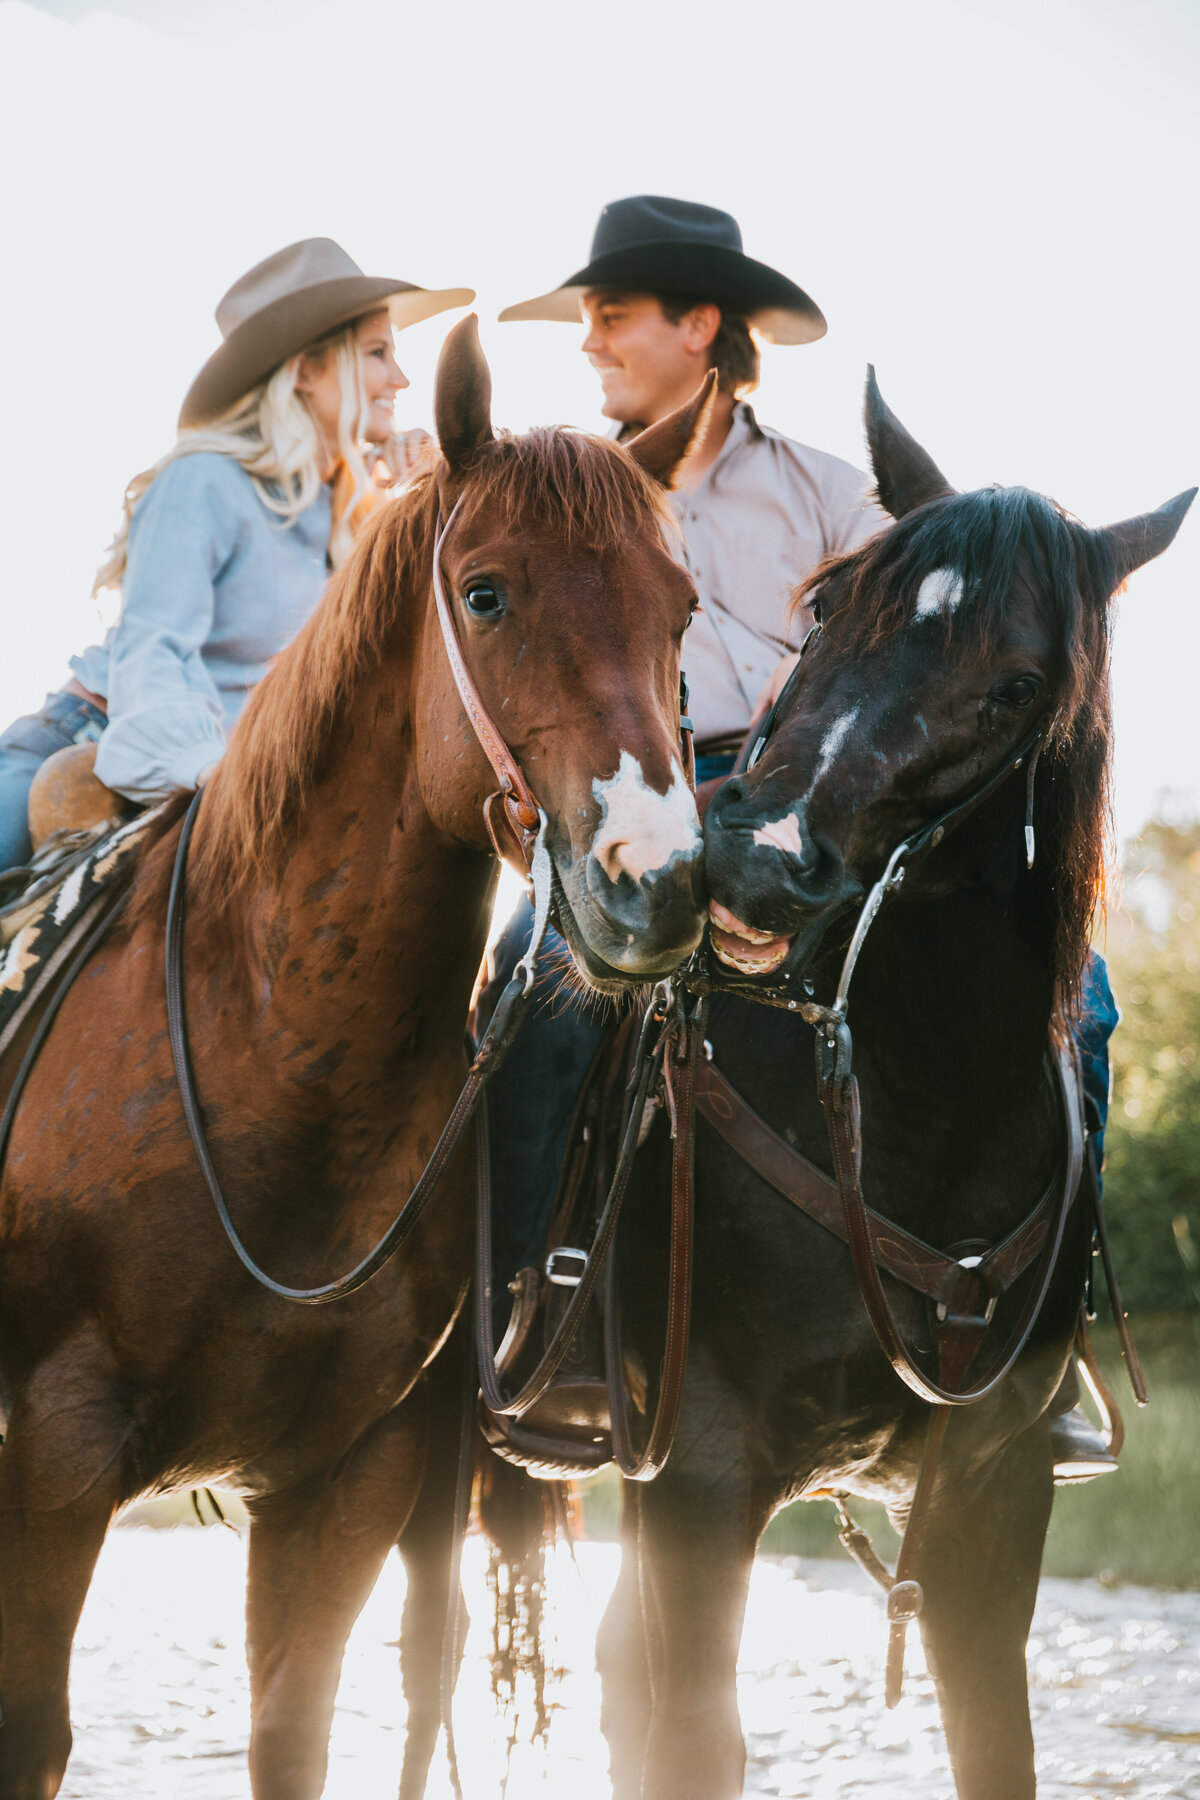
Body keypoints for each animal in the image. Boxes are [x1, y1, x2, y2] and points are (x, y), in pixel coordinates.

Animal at [0, 316, 708, 1792]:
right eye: (487, 594)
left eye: (681, 605)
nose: (655, 885)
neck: (276, 1063)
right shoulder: (56, 1452)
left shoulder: (348, 1482)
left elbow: (297, 1730)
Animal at [597, 372, 1194, 1792]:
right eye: (827, 608)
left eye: (1020, 683)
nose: (757, 867)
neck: (915, 1110)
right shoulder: (697, 1482)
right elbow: (690, 1739)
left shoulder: (995, 1495)